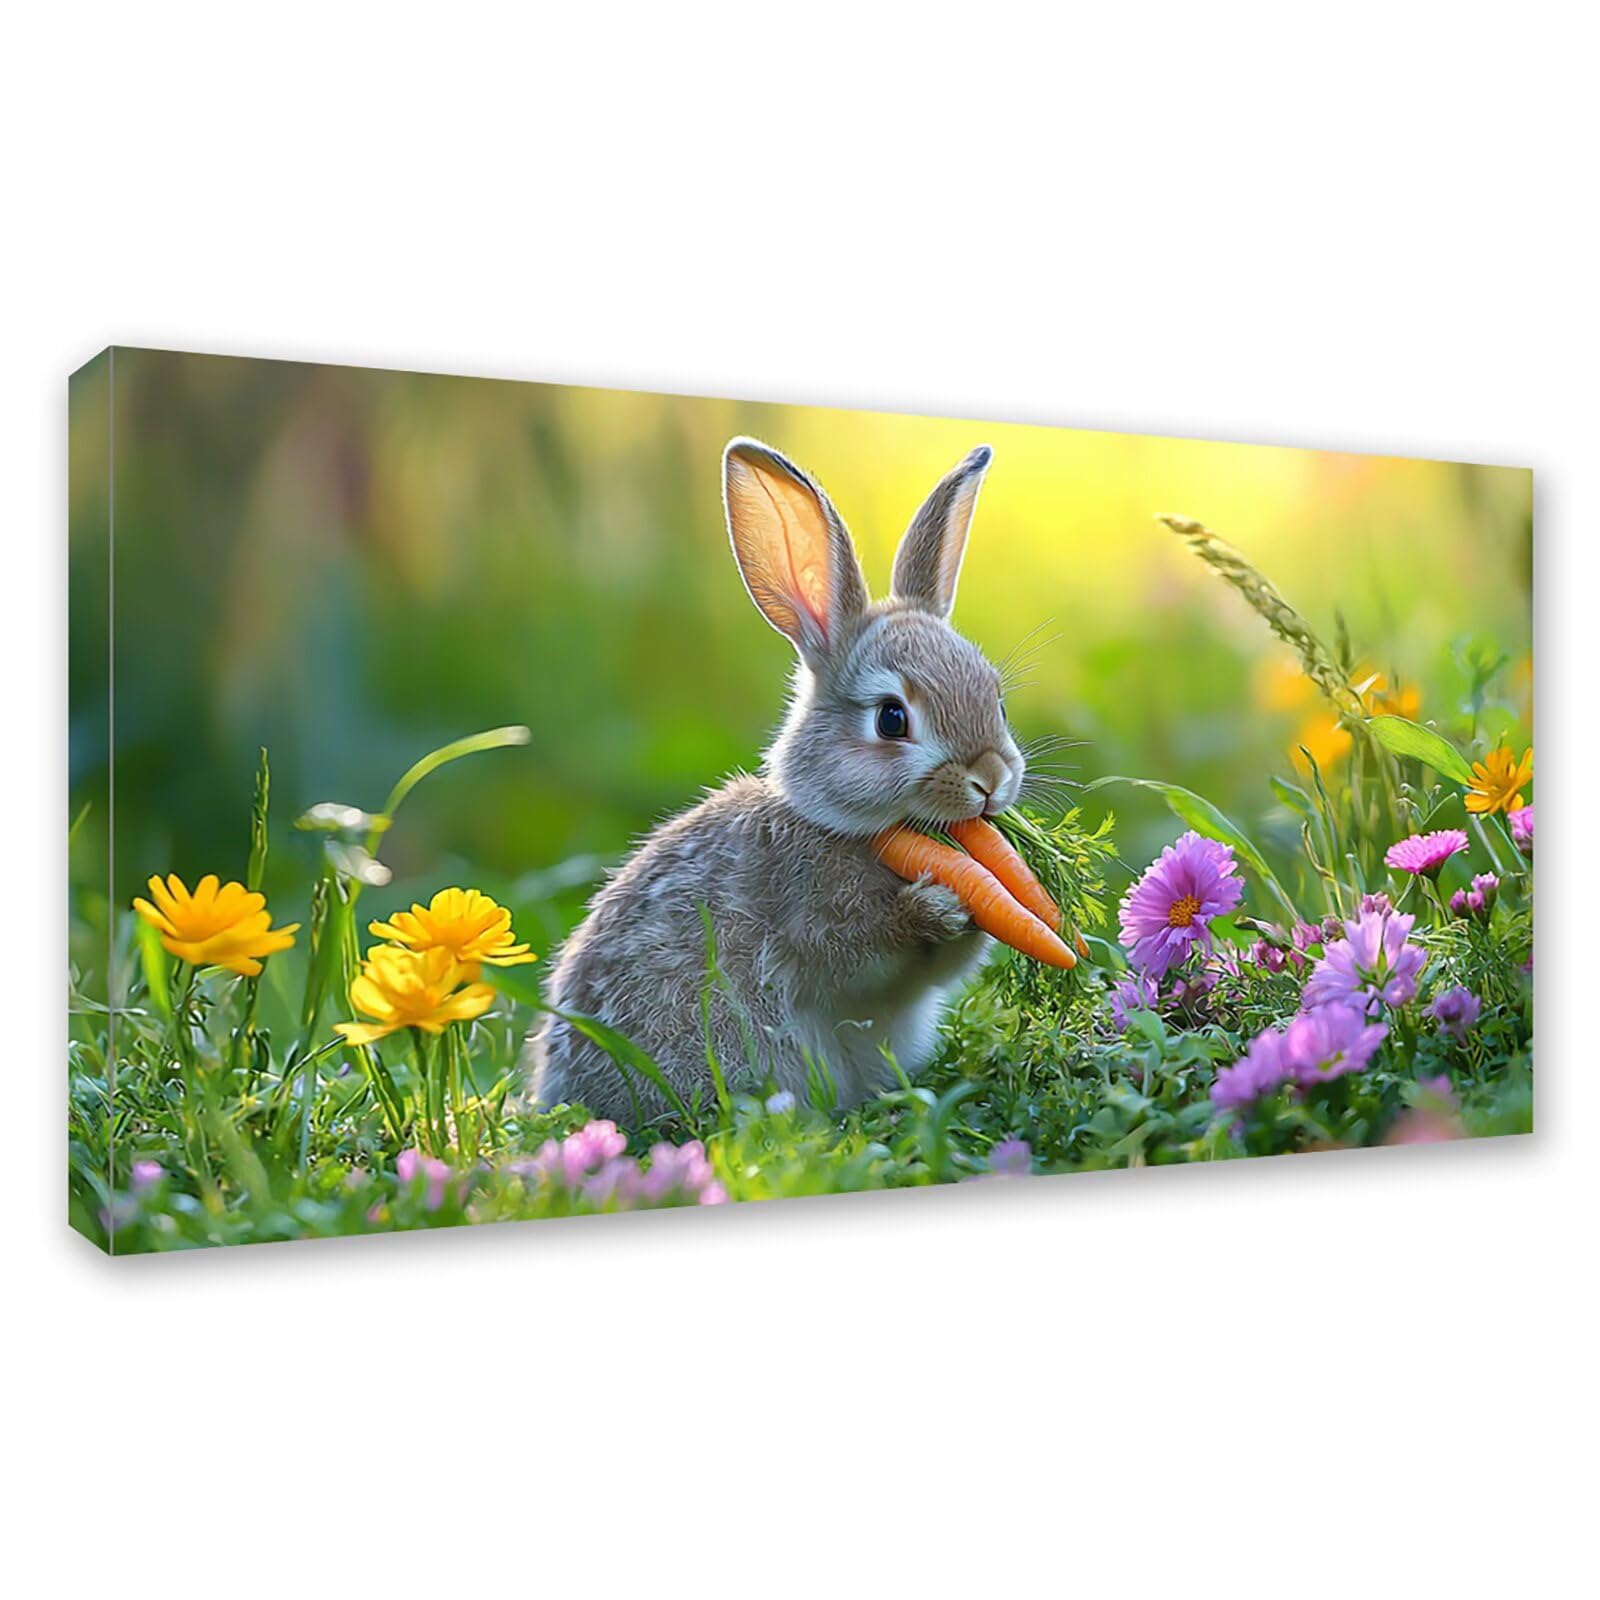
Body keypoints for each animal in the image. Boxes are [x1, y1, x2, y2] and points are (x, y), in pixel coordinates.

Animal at [526, 436, 1025, 1121]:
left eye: (996, 699)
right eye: (892, 719)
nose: (991, 779)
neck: (863, 833)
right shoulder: (809, 917)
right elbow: (856, 950)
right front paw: (936, 906)